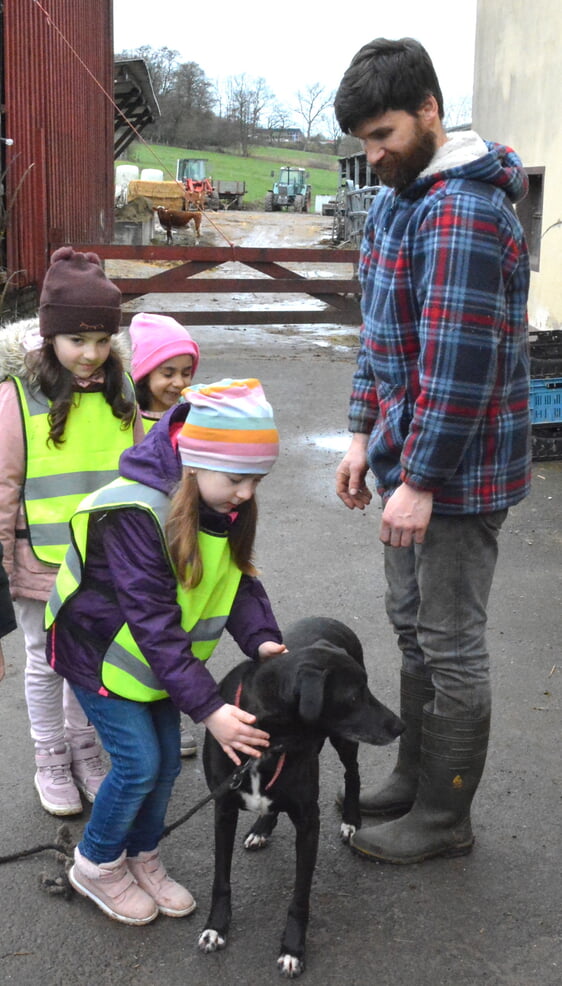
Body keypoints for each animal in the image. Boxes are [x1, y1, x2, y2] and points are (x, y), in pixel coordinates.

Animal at [198, 616, 402, 976]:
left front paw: (293, 948)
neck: (271, 739)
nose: (400, 725)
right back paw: (262, 828)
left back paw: (351, 819)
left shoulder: (309, 821)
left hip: (344, 741)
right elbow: (221, 878)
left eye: (367, 689)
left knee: (353, 774)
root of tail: (330, 620)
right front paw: (216, 927)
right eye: (354, 696)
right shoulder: (223, 809)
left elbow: (300, 896)